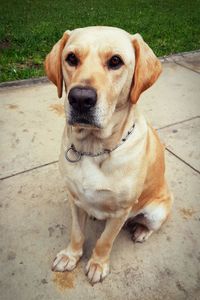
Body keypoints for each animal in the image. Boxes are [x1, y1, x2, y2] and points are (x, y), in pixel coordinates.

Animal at [44, 25, 173, 284]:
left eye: (115, 61)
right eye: (71, 58)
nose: (80, 98)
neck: (93, 149)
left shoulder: (121, 211)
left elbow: (105, 241)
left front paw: (97, 264)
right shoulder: (74, 198)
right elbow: (76, 233)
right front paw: (71, 256)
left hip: (156, 210)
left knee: (150, 224)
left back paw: (142, 231)